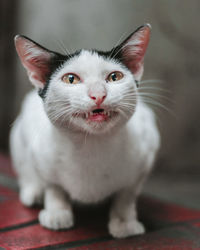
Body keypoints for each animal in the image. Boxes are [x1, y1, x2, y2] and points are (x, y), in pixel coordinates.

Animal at [9, 23, 160, 238]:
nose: (98, 94)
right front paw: (57, 212)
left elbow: (126, 195)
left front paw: (124, 222)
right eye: (71, 79)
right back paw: (33, 192)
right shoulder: (39, 154)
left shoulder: (145, 154)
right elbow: (53, 187)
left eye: (115, 77)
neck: (91, 147)